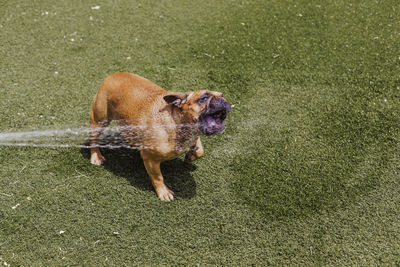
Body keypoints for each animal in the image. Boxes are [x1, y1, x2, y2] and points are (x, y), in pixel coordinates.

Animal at [88, 72, 230, 202]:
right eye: (204, 97)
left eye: (222, 95)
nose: (223, 100)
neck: (176, 122)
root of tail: (114, 74)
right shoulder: (151, 159)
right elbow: (158, 177)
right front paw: (164, 192)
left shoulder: (195, 136)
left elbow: (200, 150)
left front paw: (190, 157)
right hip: (100, 119)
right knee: (93, 139)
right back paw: (96, 156)